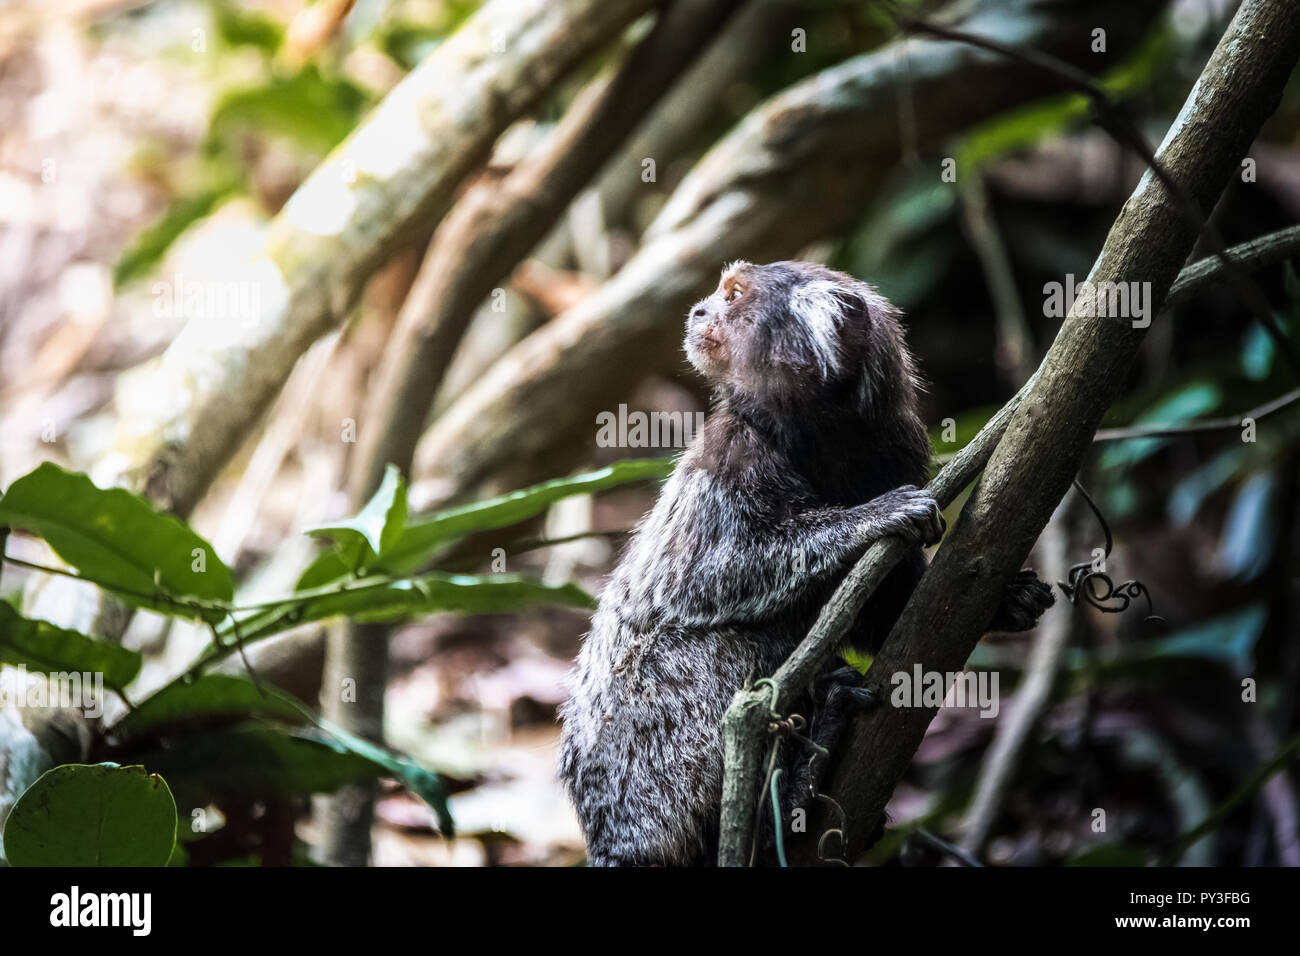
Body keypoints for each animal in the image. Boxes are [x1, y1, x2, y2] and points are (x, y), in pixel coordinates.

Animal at [558, 260, 1053, 866]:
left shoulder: (895, 450)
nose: (697, 311)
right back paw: (788, 794)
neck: (817, 437)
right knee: (722, 645)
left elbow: (888, 609)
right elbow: (698, 582)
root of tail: (612, 836)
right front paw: (871, 518)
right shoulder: (729, 455)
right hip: (647, 764)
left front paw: (1004, 602)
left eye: (732, 296)